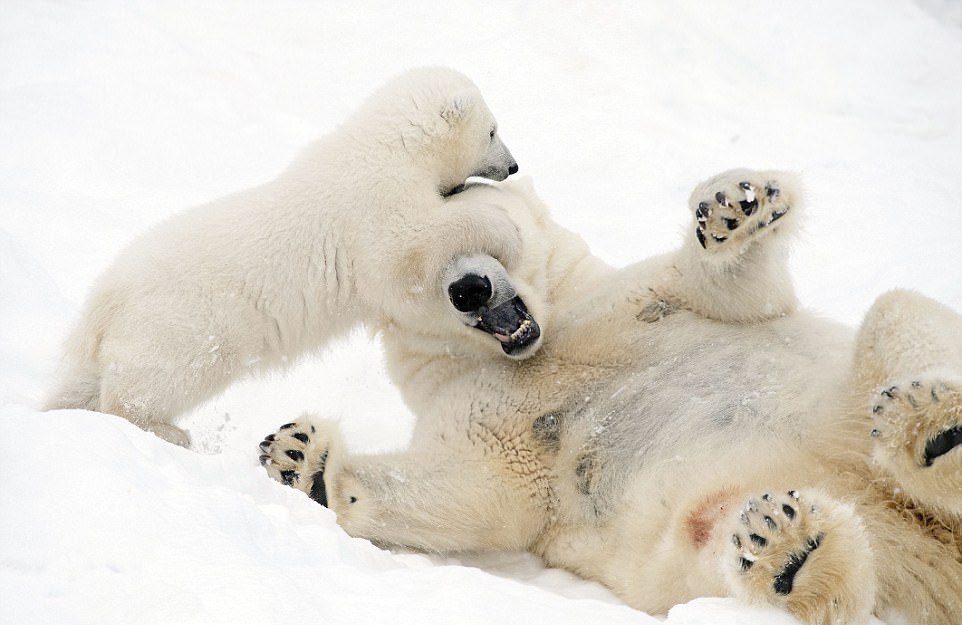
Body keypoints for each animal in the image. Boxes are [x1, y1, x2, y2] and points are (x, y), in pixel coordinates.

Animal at [45, 68, 524, 446]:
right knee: (161, 379)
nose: (513, 166)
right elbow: (407, 249)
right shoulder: (371, 203)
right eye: (493, 131)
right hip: (185, 324)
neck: (387, 146)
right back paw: (168, 430)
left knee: (82, 381)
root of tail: (108, 292)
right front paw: (506, 228)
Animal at [260, 174, 960, 624]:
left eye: (460, 203)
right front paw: (300, 459)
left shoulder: (637, 296)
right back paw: (792, 548)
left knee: (897, 317)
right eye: (416, 274)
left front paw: (733, 208)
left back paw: (927, 423)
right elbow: (471, 488)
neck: (550, 337)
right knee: (713, 530)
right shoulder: (488, 413)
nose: (471, 288)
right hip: (711, 529)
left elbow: (742, 295)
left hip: (845, 410)